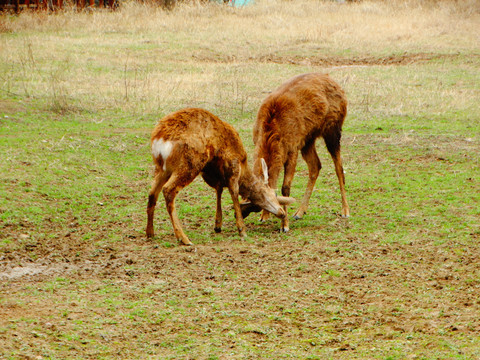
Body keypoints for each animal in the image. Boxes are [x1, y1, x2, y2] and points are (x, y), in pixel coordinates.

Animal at [145, 107, 296, 245]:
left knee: (152, 193)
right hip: (189, 164)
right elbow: (233, 193)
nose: (282, 213)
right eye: (268, 195)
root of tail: (159, 140)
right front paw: (242, 230)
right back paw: (183, 238)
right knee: (168, 190)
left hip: (161, 168)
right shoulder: (233, 166)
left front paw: (218, 225)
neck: (243, 165)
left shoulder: (216, 175)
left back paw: (150, 233)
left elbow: (219, 191)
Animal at [246, 73, 350, 232]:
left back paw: (345, 211)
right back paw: (300, 212)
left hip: (333, 129)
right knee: (316, 165)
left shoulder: (292, 148)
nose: (279, 214)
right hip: (308, 139)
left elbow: (285, 187)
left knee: (339, 168)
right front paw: (264, 217)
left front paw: (285, 225)